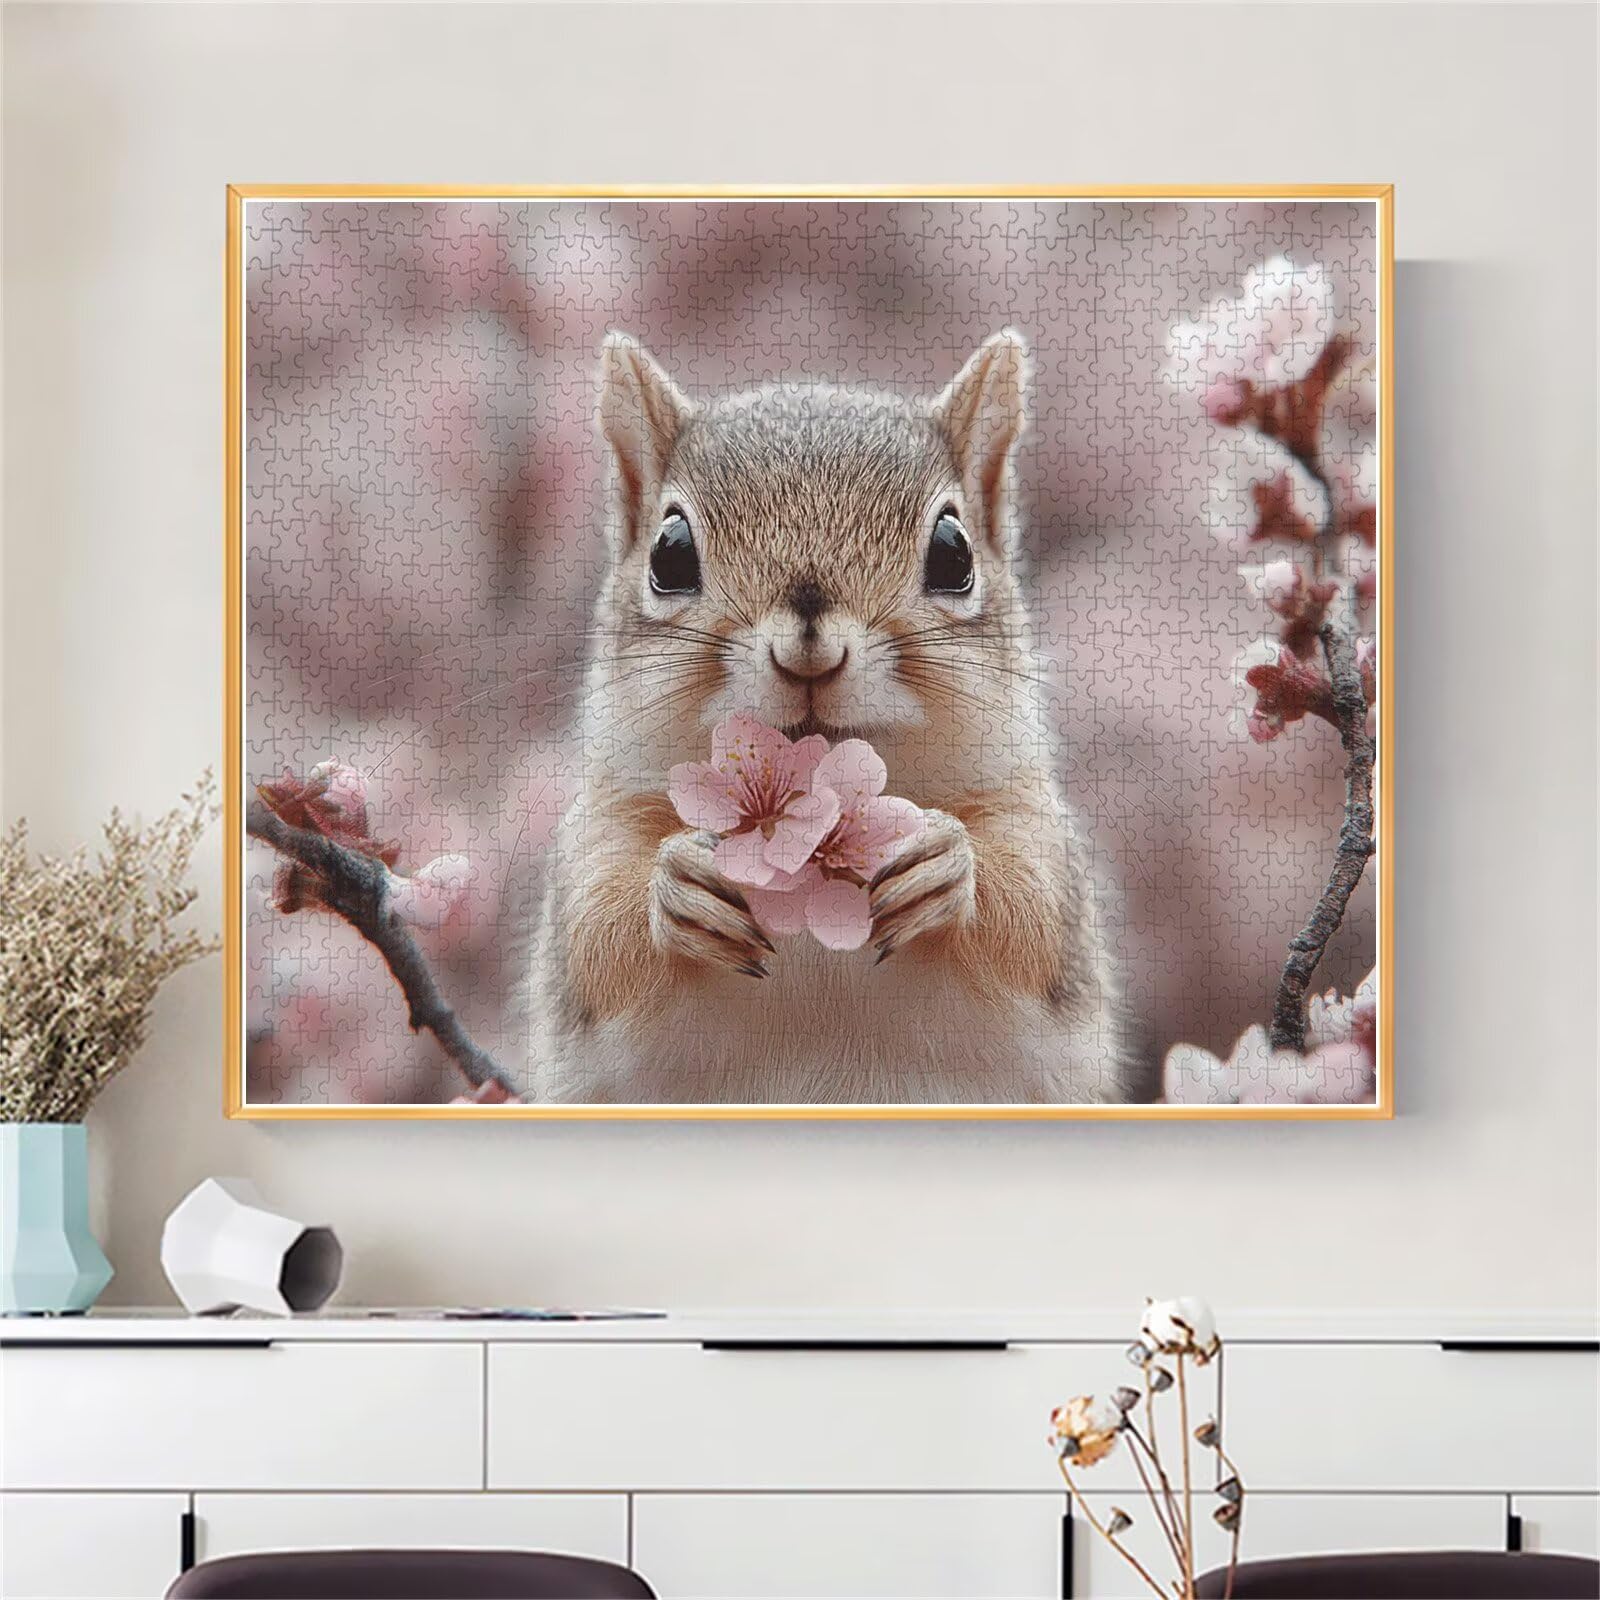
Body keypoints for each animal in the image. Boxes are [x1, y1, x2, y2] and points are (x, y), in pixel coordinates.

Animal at [520, 330, 1127, 1104]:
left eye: (954, 552)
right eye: (669, 554)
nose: (809, 646)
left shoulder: (1031, 820)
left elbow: (1036, 915)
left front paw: (946, 862)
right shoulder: (597, 833)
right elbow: (595, 940)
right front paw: (676, 886)